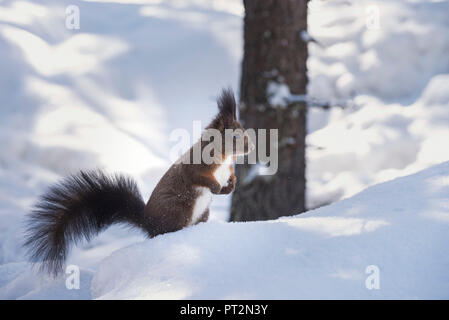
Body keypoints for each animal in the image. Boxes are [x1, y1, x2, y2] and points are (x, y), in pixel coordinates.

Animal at [24, 88, 254, 276]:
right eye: (235, 136)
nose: (251, 147)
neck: (225, 158)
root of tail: (147, 221)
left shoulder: (228, 169)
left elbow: (231, 177)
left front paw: (231, 186)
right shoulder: (196, 166)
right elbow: (197, 177)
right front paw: (217, 187)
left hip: (202, 213)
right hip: (179, 209)